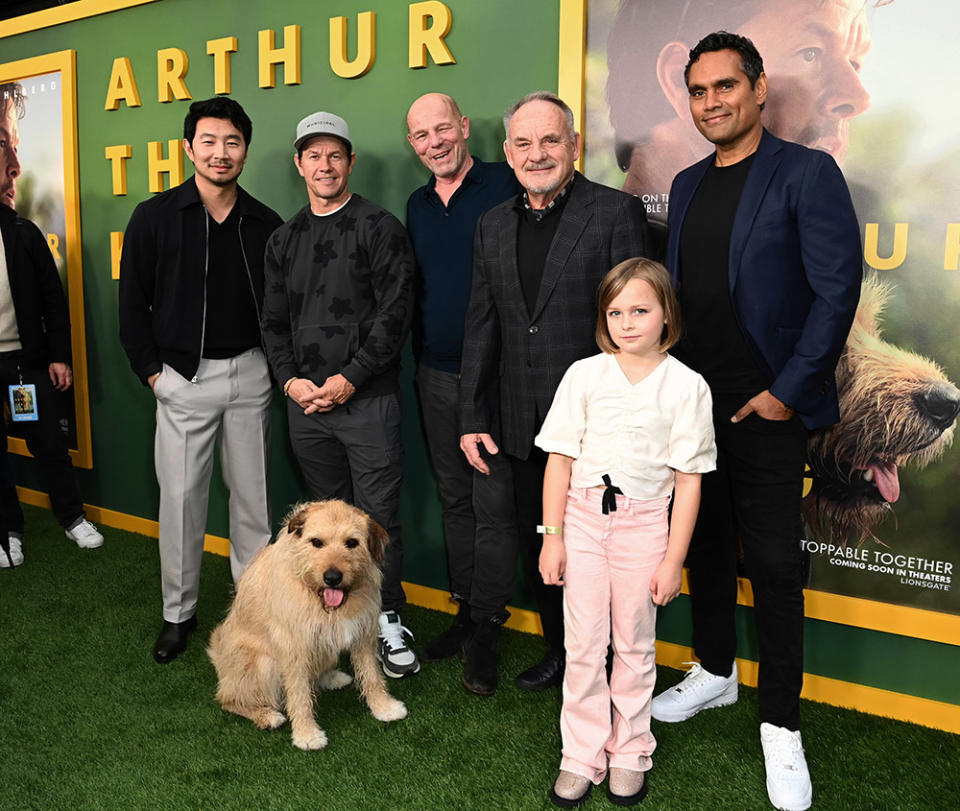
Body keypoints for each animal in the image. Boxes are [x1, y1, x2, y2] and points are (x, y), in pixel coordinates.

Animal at [208, 498, 406, 752]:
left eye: (352, 543)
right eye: (317, 542)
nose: (332, 577)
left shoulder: (363, 634)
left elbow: (372, 676)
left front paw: (383, 707)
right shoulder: (295, 648)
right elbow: (300, 695)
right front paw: (307, 734)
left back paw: (331, 678)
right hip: (263, 665)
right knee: (229, 699)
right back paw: (266, 716)